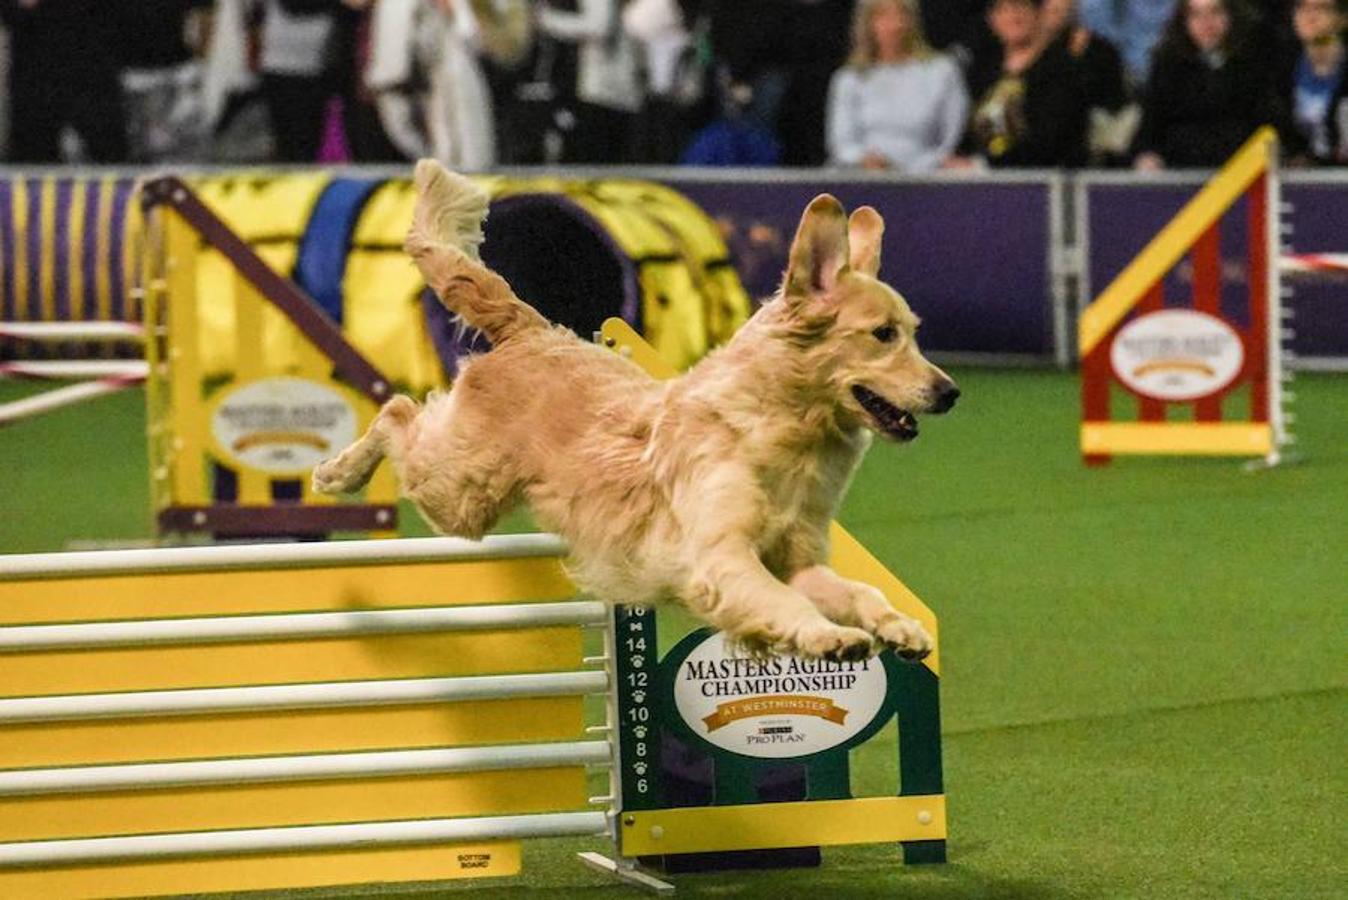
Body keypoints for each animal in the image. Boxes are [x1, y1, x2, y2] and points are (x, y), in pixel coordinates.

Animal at [312, 161, 959, 665]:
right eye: (882, 335)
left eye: (914, 332)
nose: (950, 392)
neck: (780, 432)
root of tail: (534, 331)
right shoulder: (720, 559)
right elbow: (785, 602)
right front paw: (827, 636)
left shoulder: (798, 559)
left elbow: (856, 592)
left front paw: (897, 627)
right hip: (461, 493)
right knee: (398, 409)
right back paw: (337, 472)